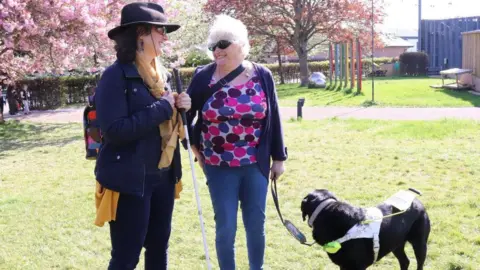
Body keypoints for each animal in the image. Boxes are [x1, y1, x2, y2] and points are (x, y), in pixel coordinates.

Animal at [300, 189, 432, 268]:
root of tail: (415, 199)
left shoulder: (357, 266)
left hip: (419, 244)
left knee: (419, 262)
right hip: (396, 243)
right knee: (405, 261)